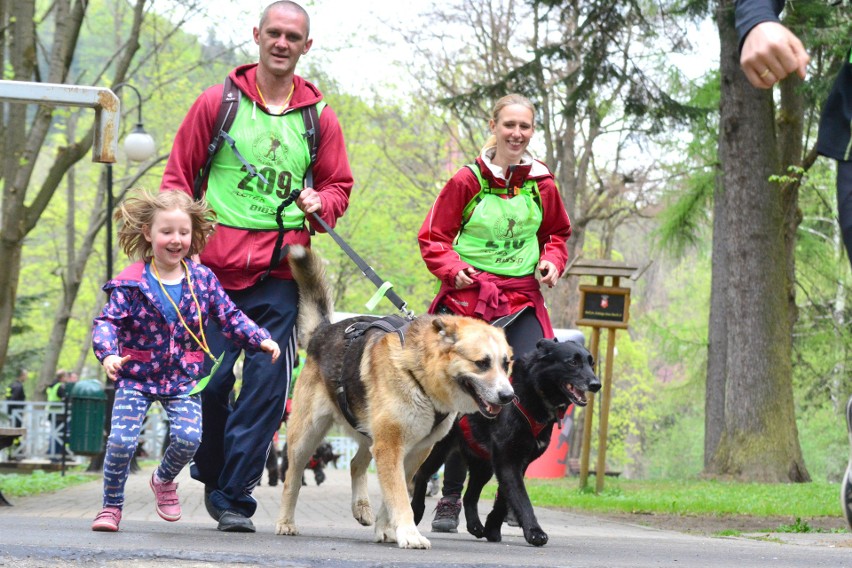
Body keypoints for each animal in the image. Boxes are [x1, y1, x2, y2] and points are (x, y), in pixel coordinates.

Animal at [412, 338, 600, 544]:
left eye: (591, 363)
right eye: (572, 362)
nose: (596, 384)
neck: (532, 392)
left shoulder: (516, 463)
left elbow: (505, 498)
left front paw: (493, 528)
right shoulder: (507, 461)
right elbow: (522, 498)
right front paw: (534, 531)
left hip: (483, 464)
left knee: (470, 496)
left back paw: (476, 526)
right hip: (437, 452)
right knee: (420, 475)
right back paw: (415, 513)